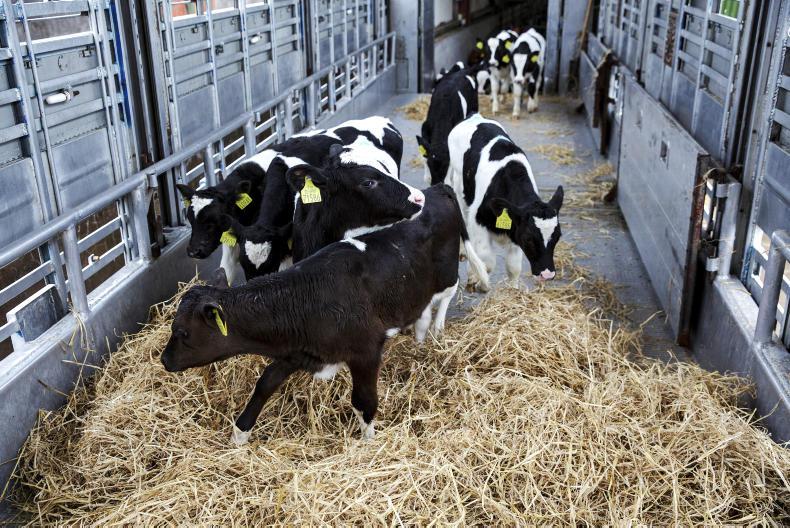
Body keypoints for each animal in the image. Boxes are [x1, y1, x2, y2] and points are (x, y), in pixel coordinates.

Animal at [160, 184, 488, 444]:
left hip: (446, 272)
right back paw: (419, 340)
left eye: (182, 332)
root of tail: (435, 190)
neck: (307, 299)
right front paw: (239, 435)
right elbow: (264, 384)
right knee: (420, 313)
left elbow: (364, 401)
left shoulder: (366, 352)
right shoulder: (296, 351)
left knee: (445, 296)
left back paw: (438, 330)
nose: (164, 360)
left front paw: (368, 442)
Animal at [447, 113, 564, 291]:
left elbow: (513, 266)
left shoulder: (515, 226)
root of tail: (475, 116)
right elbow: (487, 261)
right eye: (529, 238)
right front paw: (479, 282)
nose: (547, 274)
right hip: (459, 186)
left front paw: (513, 290)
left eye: (557, 236)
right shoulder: (477, 219)